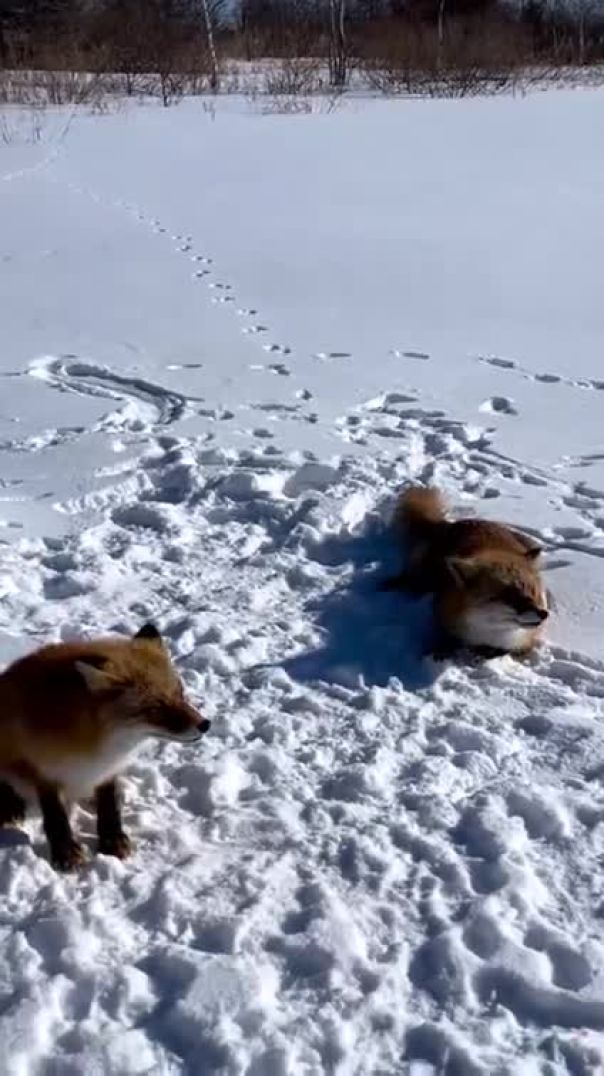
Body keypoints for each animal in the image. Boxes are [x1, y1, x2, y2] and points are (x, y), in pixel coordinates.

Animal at [0, 628, 209, 869]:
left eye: (180, 693)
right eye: (156, 708)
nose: (205, 724)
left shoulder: (109, 769)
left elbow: (109, 804)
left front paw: (112, 838)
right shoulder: (43, 767)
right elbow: (55, 815)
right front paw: (65, 850)